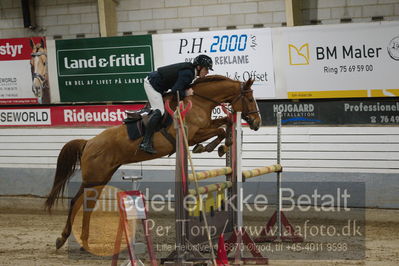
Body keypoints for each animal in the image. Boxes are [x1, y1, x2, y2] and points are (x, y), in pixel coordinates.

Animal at [44, 75, 262, 249]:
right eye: (250, 98)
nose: (257, 123)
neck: (199, 101)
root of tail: (88, 142)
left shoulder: (205, 126)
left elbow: (224, 123)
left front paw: (223, 145)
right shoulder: (192, 135)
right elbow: (219, 130)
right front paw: (211, 147)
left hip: (102, 177)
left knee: (85, 203)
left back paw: (78, 241)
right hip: (94, 177)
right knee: (77, 202)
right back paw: (71, 240)